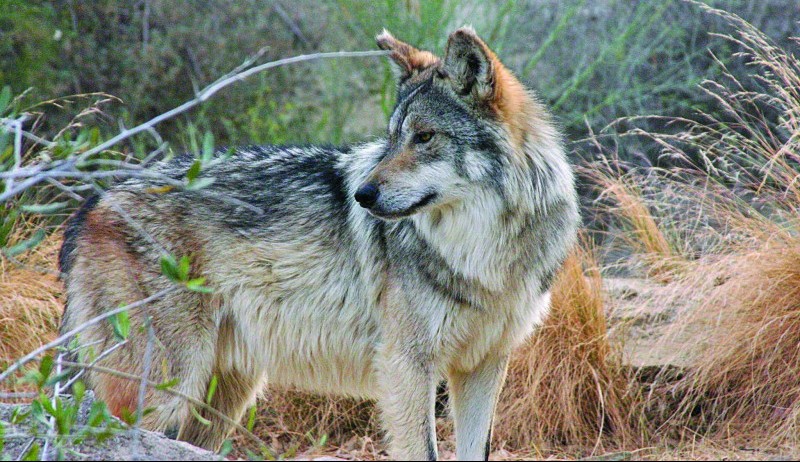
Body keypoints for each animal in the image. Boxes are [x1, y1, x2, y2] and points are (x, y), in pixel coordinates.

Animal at [58, 27, 579, 460]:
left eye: (424, 137)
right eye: (392, 139)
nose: (362, 195)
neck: (483, 253)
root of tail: (95, 200)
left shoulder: (484, 366)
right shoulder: (407, 367)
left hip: (221, 396)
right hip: (165, 388)